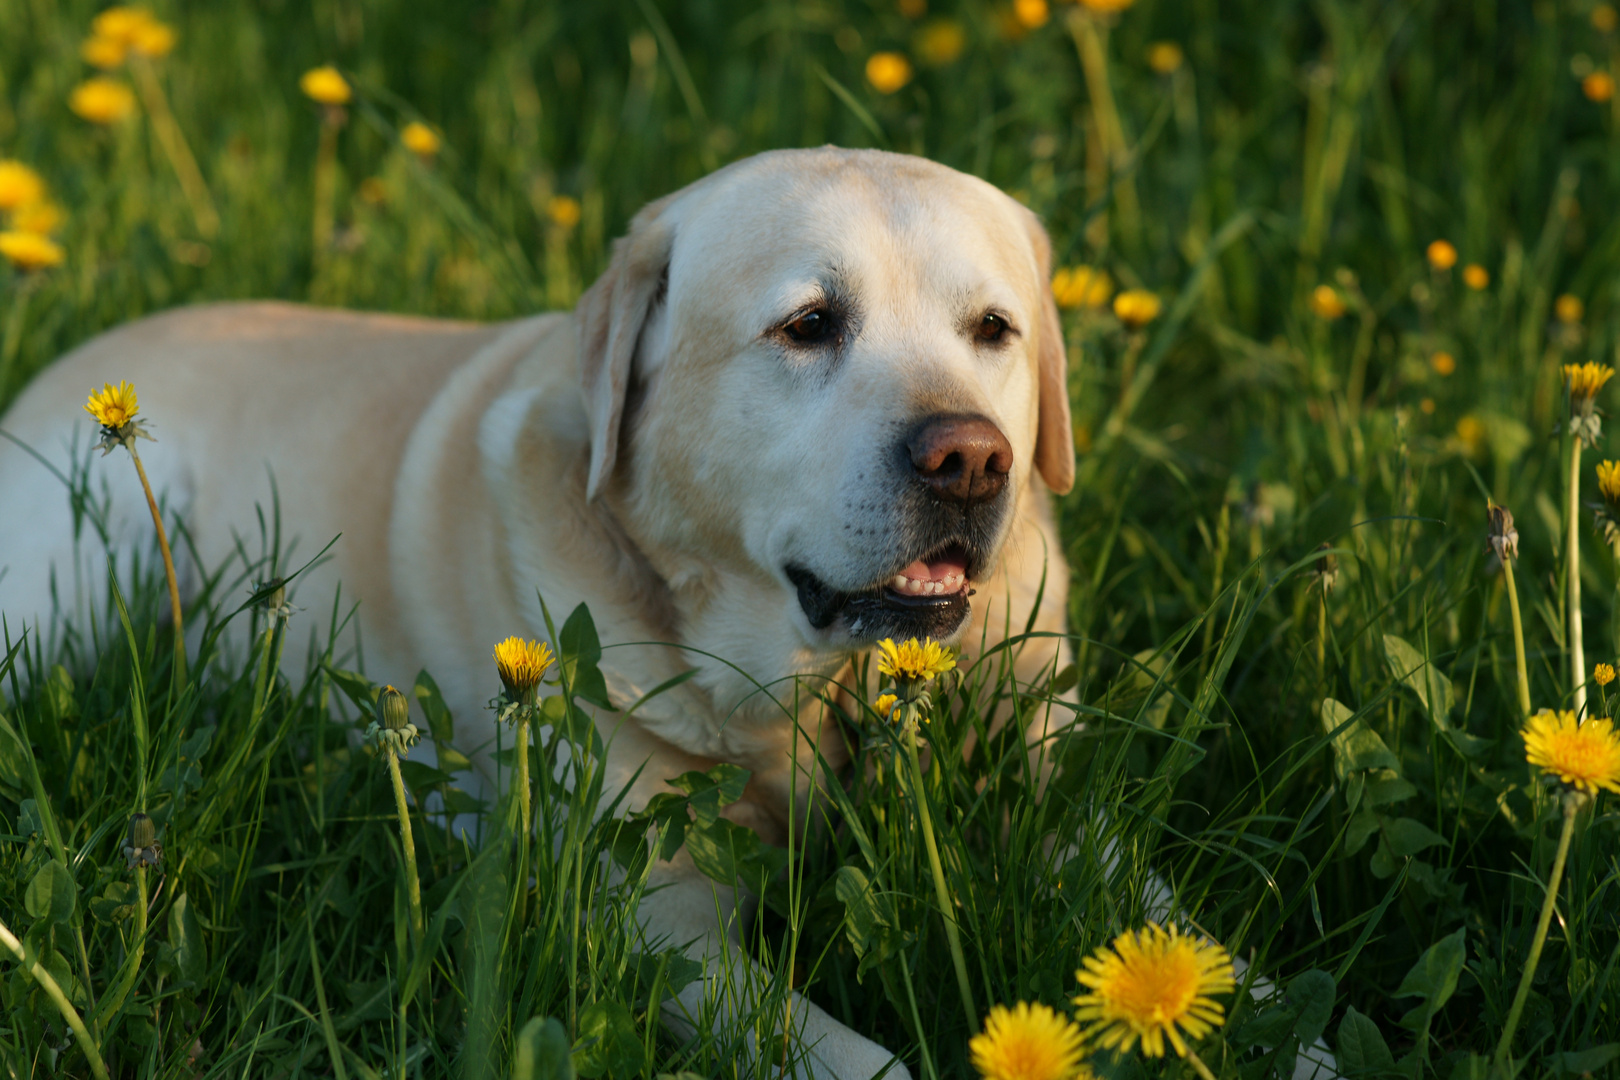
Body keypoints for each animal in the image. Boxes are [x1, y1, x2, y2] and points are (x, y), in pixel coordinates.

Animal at [0, 148, 1075, 1075]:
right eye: (809, 325)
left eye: (993, 329)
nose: (971, 461)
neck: (808, 699)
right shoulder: (659, 922)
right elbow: (861, 1056)